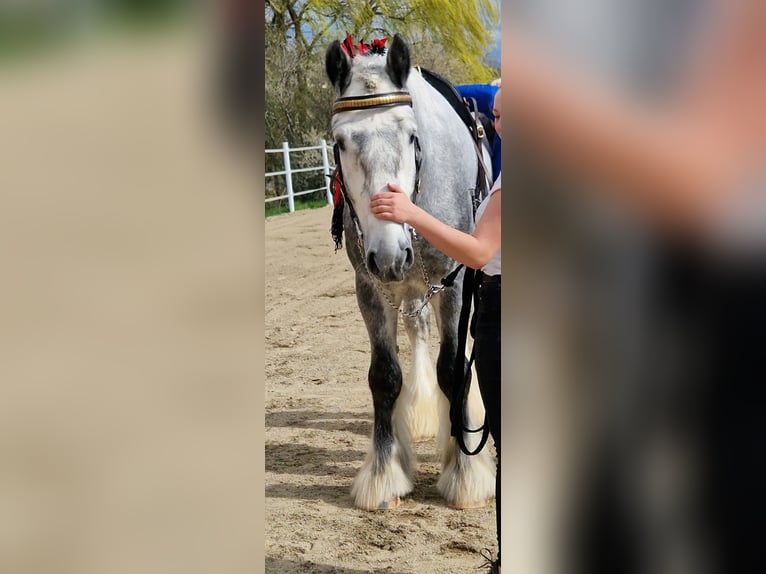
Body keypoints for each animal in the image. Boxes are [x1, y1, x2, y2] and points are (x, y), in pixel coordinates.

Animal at [326, 35, 498, 512]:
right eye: (340, 141)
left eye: (411, 135)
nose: (390, 254)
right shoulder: (369, 287)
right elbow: (384, 376)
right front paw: (384, 476)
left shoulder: (455, 283)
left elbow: (454, 370)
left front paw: (465, 474)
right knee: (418, 331)